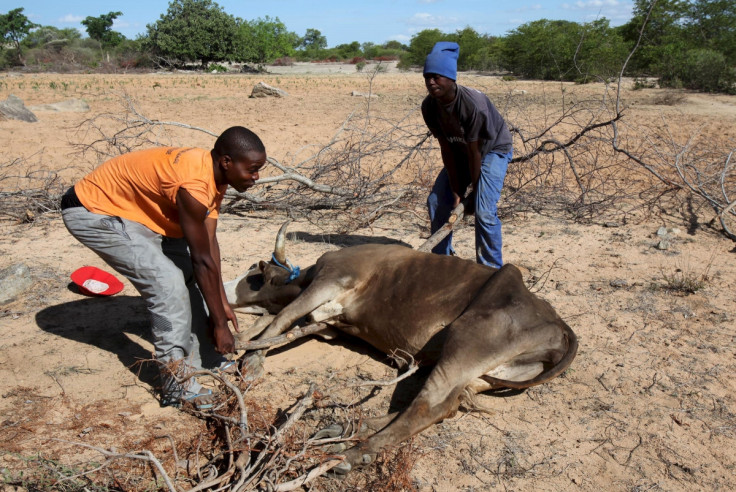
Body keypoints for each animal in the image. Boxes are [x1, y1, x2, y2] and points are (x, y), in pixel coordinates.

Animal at [224, 222, 576, 472]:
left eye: (254, 273)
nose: (225, 290)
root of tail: (558, 324)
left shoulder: (334, 277)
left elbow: (282, 317)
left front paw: (250, 361)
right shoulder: (329, 324)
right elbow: (281, 323)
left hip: (467, 339)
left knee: (428, 407)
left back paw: (354, 454)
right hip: (482, 374)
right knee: (442, 405)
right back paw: (345, 428)